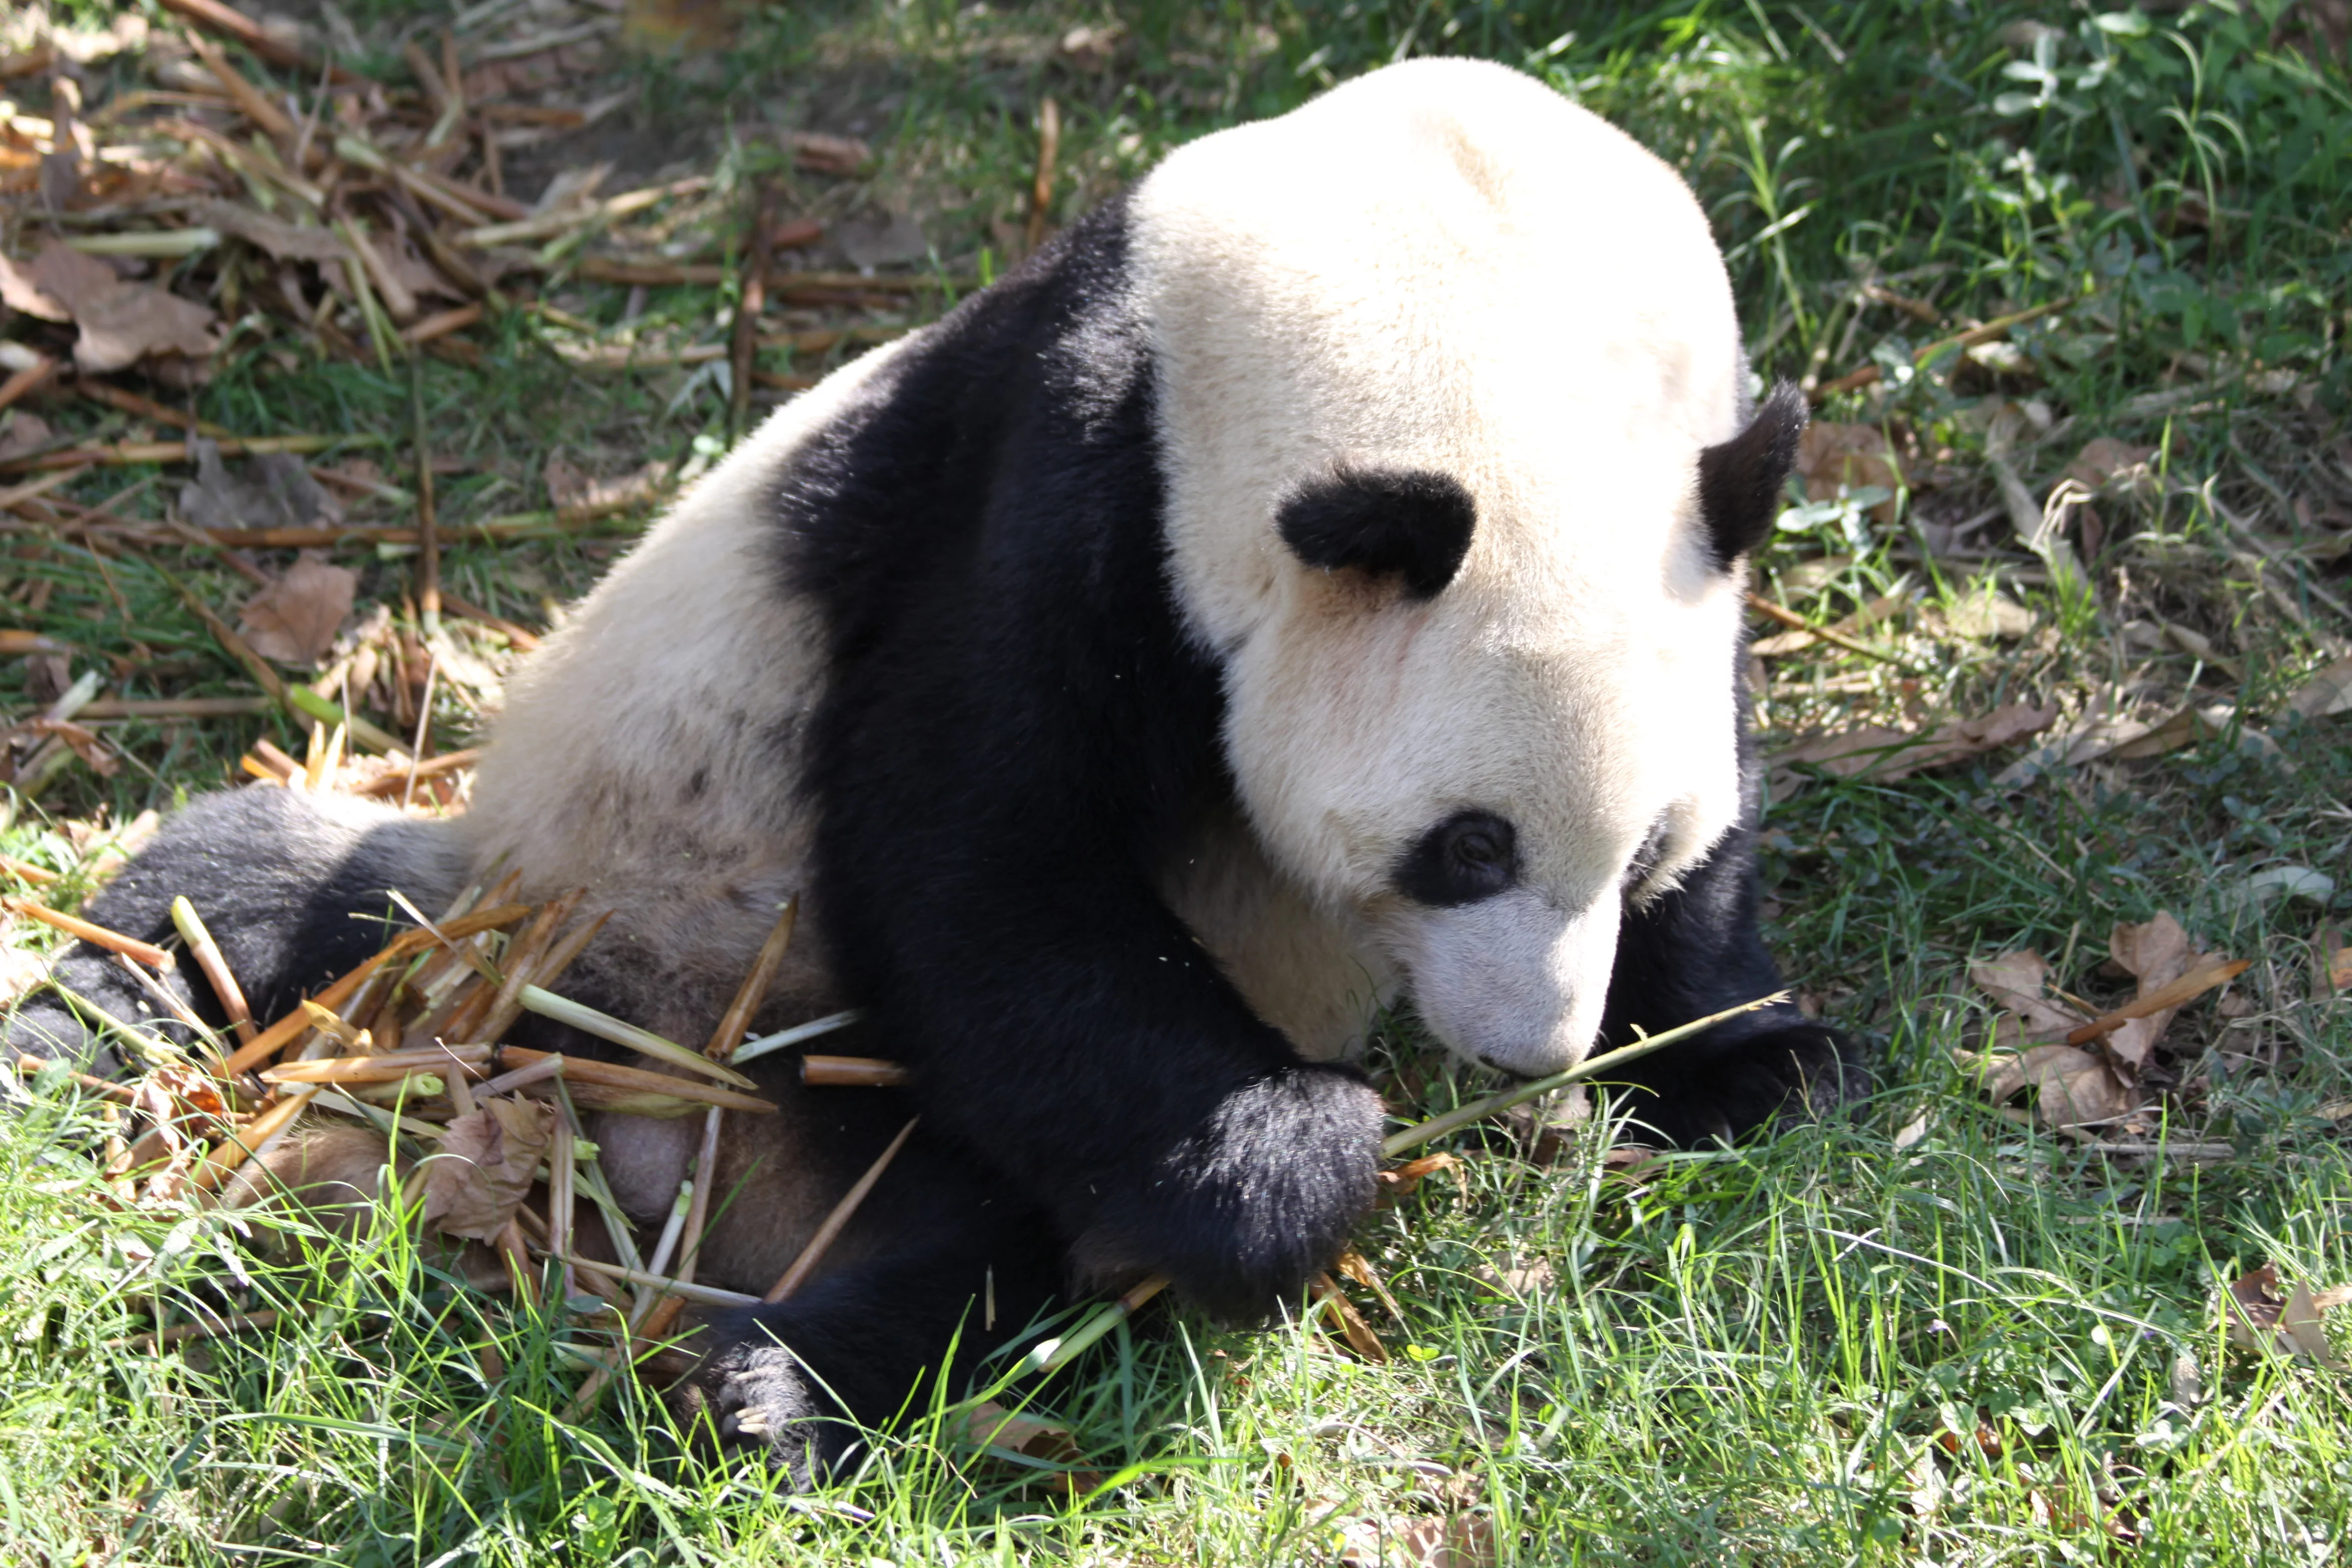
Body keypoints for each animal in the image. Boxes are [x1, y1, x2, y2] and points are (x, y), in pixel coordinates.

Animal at [5, 58, 1857, 1476]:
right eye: (1465, 846)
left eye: (1636, 850)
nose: (1528, 1049)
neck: (1456, 258)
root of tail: (629, 1146)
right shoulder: (1090, 461)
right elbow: (977, 851)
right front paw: (1298, 1162)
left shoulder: (1689, 517)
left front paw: (1743, 1059)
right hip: (556, 900)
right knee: (258, 891)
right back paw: (81, 1027)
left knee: (963, 1240)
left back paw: (771, 1389)